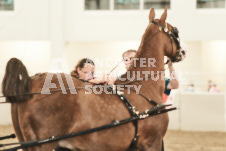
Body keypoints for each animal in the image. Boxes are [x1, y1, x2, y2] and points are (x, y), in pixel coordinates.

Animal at [1, 7, 185, 151]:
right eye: (175, 30)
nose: (182, 52)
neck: (141, 85)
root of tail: (30, 82)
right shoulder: (152, 143)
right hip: (43, 144)